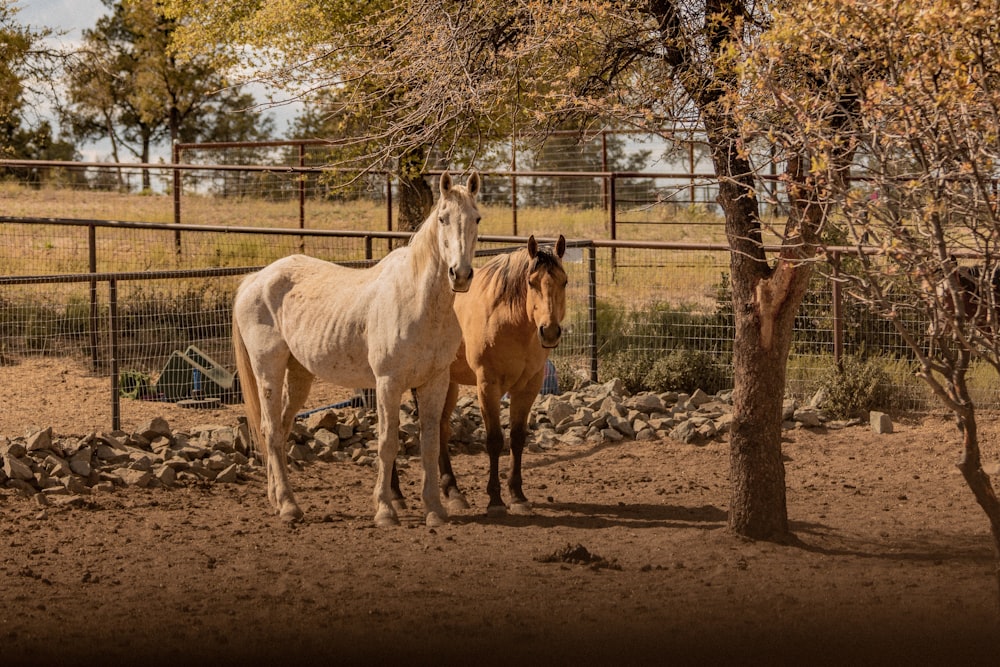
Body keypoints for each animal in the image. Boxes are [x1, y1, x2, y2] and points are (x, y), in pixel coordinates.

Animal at [235, 172, 484, 528]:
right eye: (442, 218)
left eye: (476, 218)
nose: (460, 275)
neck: (418, 301)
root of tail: (256, 278)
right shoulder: (388, 383)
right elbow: (387, 444)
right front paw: (385, 510)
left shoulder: (434, 382)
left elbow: (430, 444)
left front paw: (435, 510)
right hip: (268, 369)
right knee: (270, 431)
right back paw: (288, 507)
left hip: (299, 375)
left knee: (281, 430)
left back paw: (276, 498)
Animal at [390, 235, 568, 516]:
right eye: (531, 282)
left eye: (565, 281)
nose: (549, 331)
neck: (510, 321)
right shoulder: (487, 384)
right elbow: (494, 440)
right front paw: (495, 499)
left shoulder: (529, 385)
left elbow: (517, 438)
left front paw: (517, 496)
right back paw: (396, 495)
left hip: (447, 383)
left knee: (439, 428)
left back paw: (453, 492)